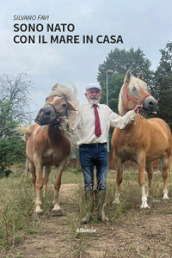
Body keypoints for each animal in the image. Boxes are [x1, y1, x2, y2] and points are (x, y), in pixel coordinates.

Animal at [22, 83, 78, 215]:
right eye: (47, 98)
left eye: (64, 105)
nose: (43, 113)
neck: (51, 141)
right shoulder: (38, 161)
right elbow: (38, 183)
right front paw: (38, 207)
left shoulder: (62, 162)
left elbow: (56, 183)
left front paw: (56, 206)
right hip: (31, 163)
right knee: (33, 180)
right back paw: (34, 199)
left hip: (47, 166)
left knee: (46, 179)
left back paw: (46, 198)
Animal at [111, 70, 171, 210]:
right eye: (133, 88)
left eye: (146, 86)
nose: (153, 103)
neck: (127, 130)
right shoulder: (118, 157)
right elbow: (119, 178)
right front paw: (116, 200)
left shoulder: (140, 156)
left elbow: (140, 179)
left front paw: (144, 203)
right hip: (148, 160)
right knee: (150, 174)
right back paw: (149, 194)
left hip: (165, 156)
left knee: (164, 174)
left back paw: (165, 195)